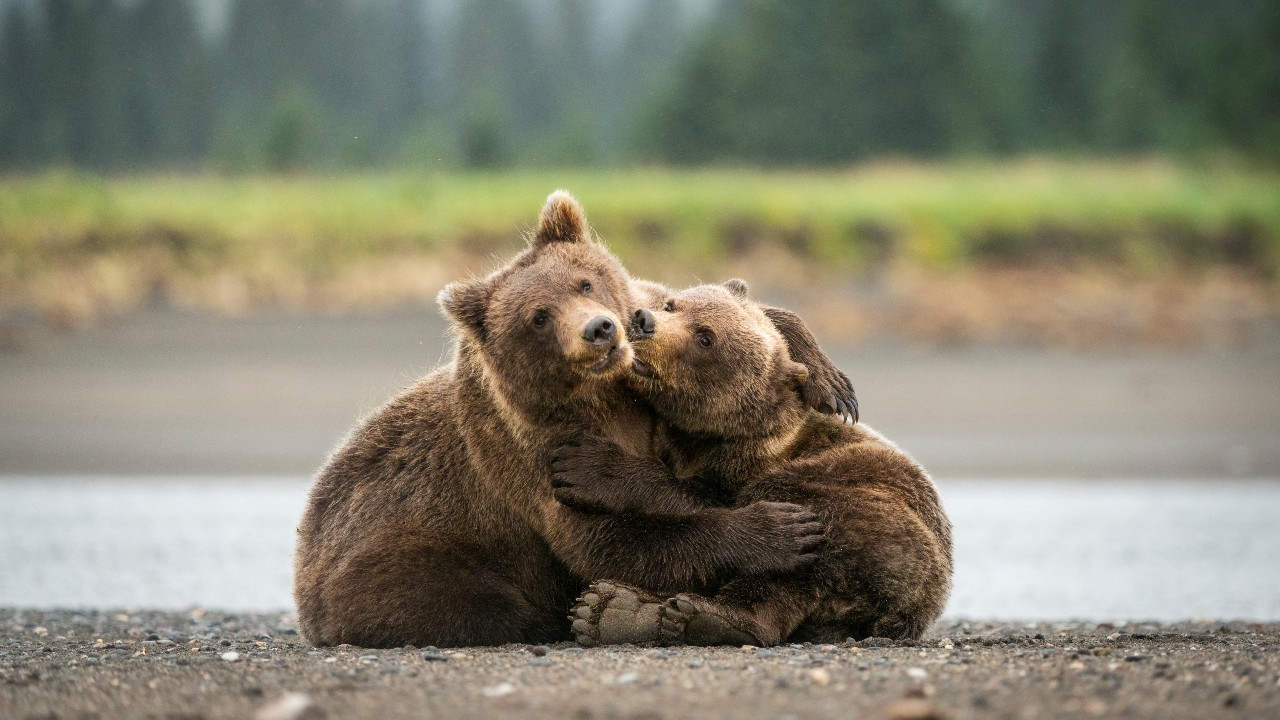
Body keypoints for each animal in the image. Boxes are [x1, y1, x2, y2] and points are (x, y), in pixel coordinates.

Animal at [558, 278, 952, 640]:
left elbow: (699, 498)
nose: (644, 320)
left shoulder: (748, 462)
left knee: (802, 547)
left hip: (881, 524)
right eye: (672, 305)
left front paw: (588, 468)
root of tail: (916, 612)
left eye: (705, 338)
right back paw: (614, 610)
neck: (701, 438)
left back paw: (707, 618)